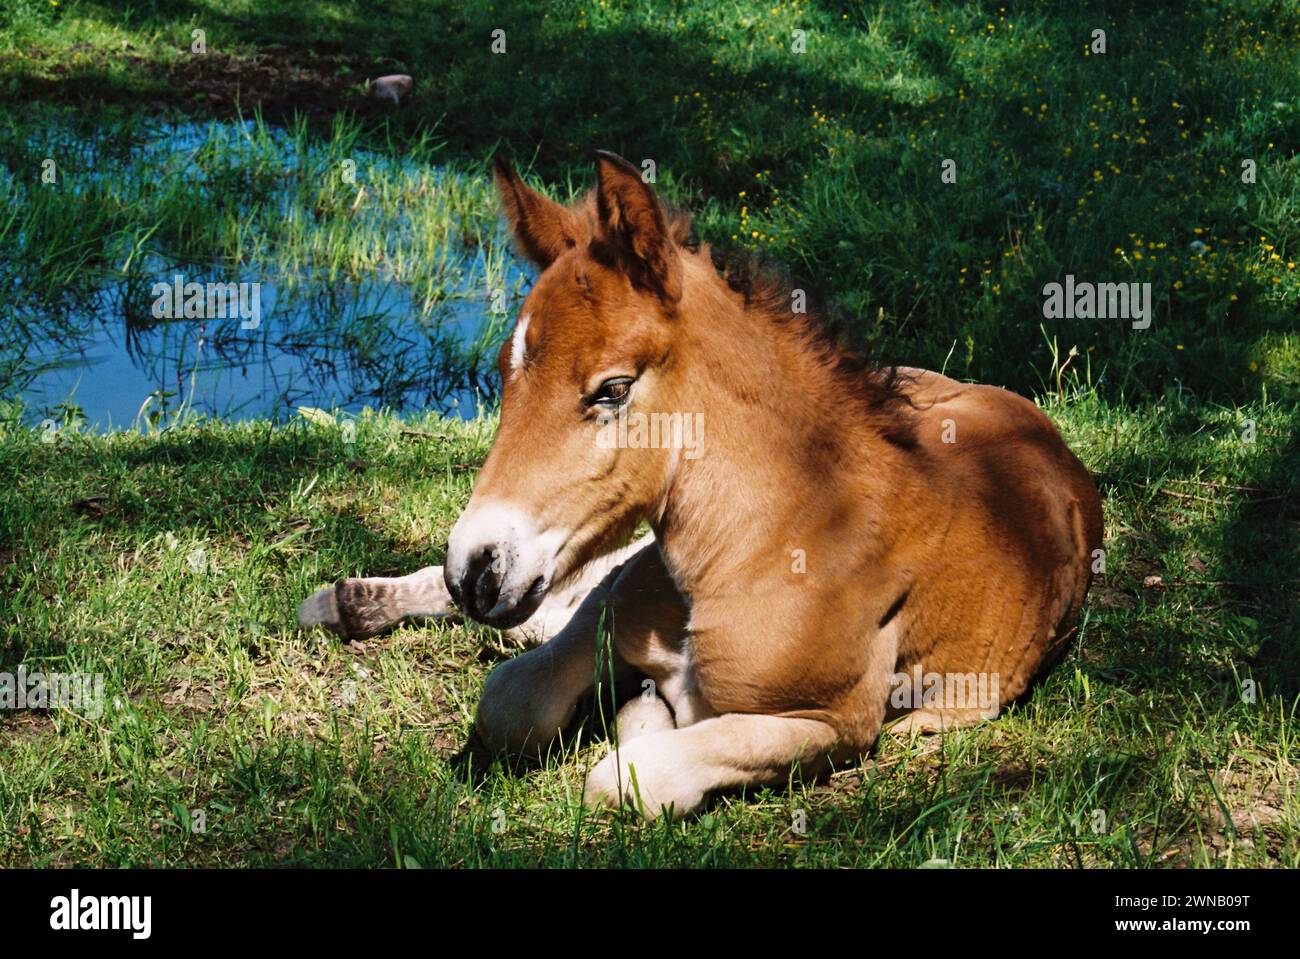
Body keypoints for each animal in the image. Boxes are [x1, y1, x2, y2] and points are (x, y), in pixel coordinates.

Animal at [299, 150, 1103, 819]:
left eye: (613, 389)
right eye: (504, 371)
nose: (476, 568)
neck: (785, 533)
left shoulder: (837, 722)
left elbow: (627, 778)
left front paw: (643, 715)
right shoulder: (607, 605)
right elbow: (510, 700)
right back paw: (345, 601)